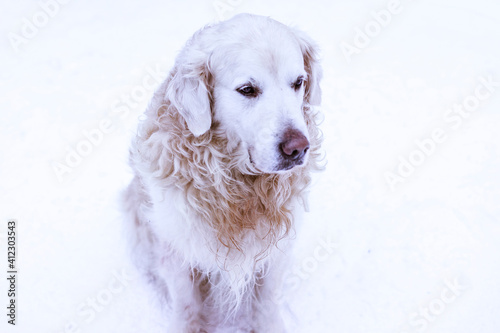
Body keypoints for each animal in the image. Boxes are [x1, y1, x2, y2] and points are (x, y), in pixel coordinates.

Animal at [123, 13, 322, 332]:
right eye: (247, 89)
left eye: (298, 82)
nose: (297, 148)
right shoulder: (177, 250)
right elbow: (187, 304)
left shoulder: (275, 251)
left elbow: (266, 302)